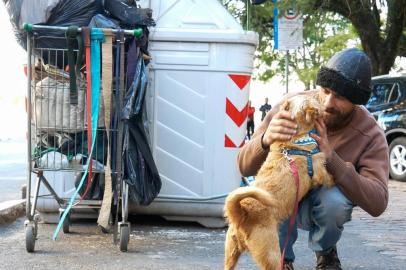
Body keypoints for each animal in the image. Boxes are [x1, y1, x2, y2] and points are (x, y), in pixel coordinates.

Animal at [224, 93, 334, 270]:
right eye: (313, 98)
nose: (318, 93)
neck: (295, 137)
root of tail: (242, 213)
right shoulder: (319, 170)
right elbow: (329, 177)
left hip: (231, 253)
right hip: (272, 254)